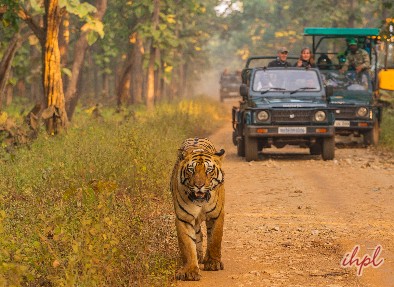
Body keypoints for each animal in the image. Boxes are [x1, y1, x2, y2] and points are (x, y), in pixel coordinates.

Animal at [169, 137, 225, 282]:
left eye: (209, 170)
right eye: (191, 170)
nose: (199, 185)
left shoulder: (217, 215)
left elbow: (215, 238)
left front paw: (213, 263)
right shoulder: (184, 218)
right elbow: (188, 245)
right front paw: (190, 271)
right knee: (198, 235)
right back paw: (199, 256)